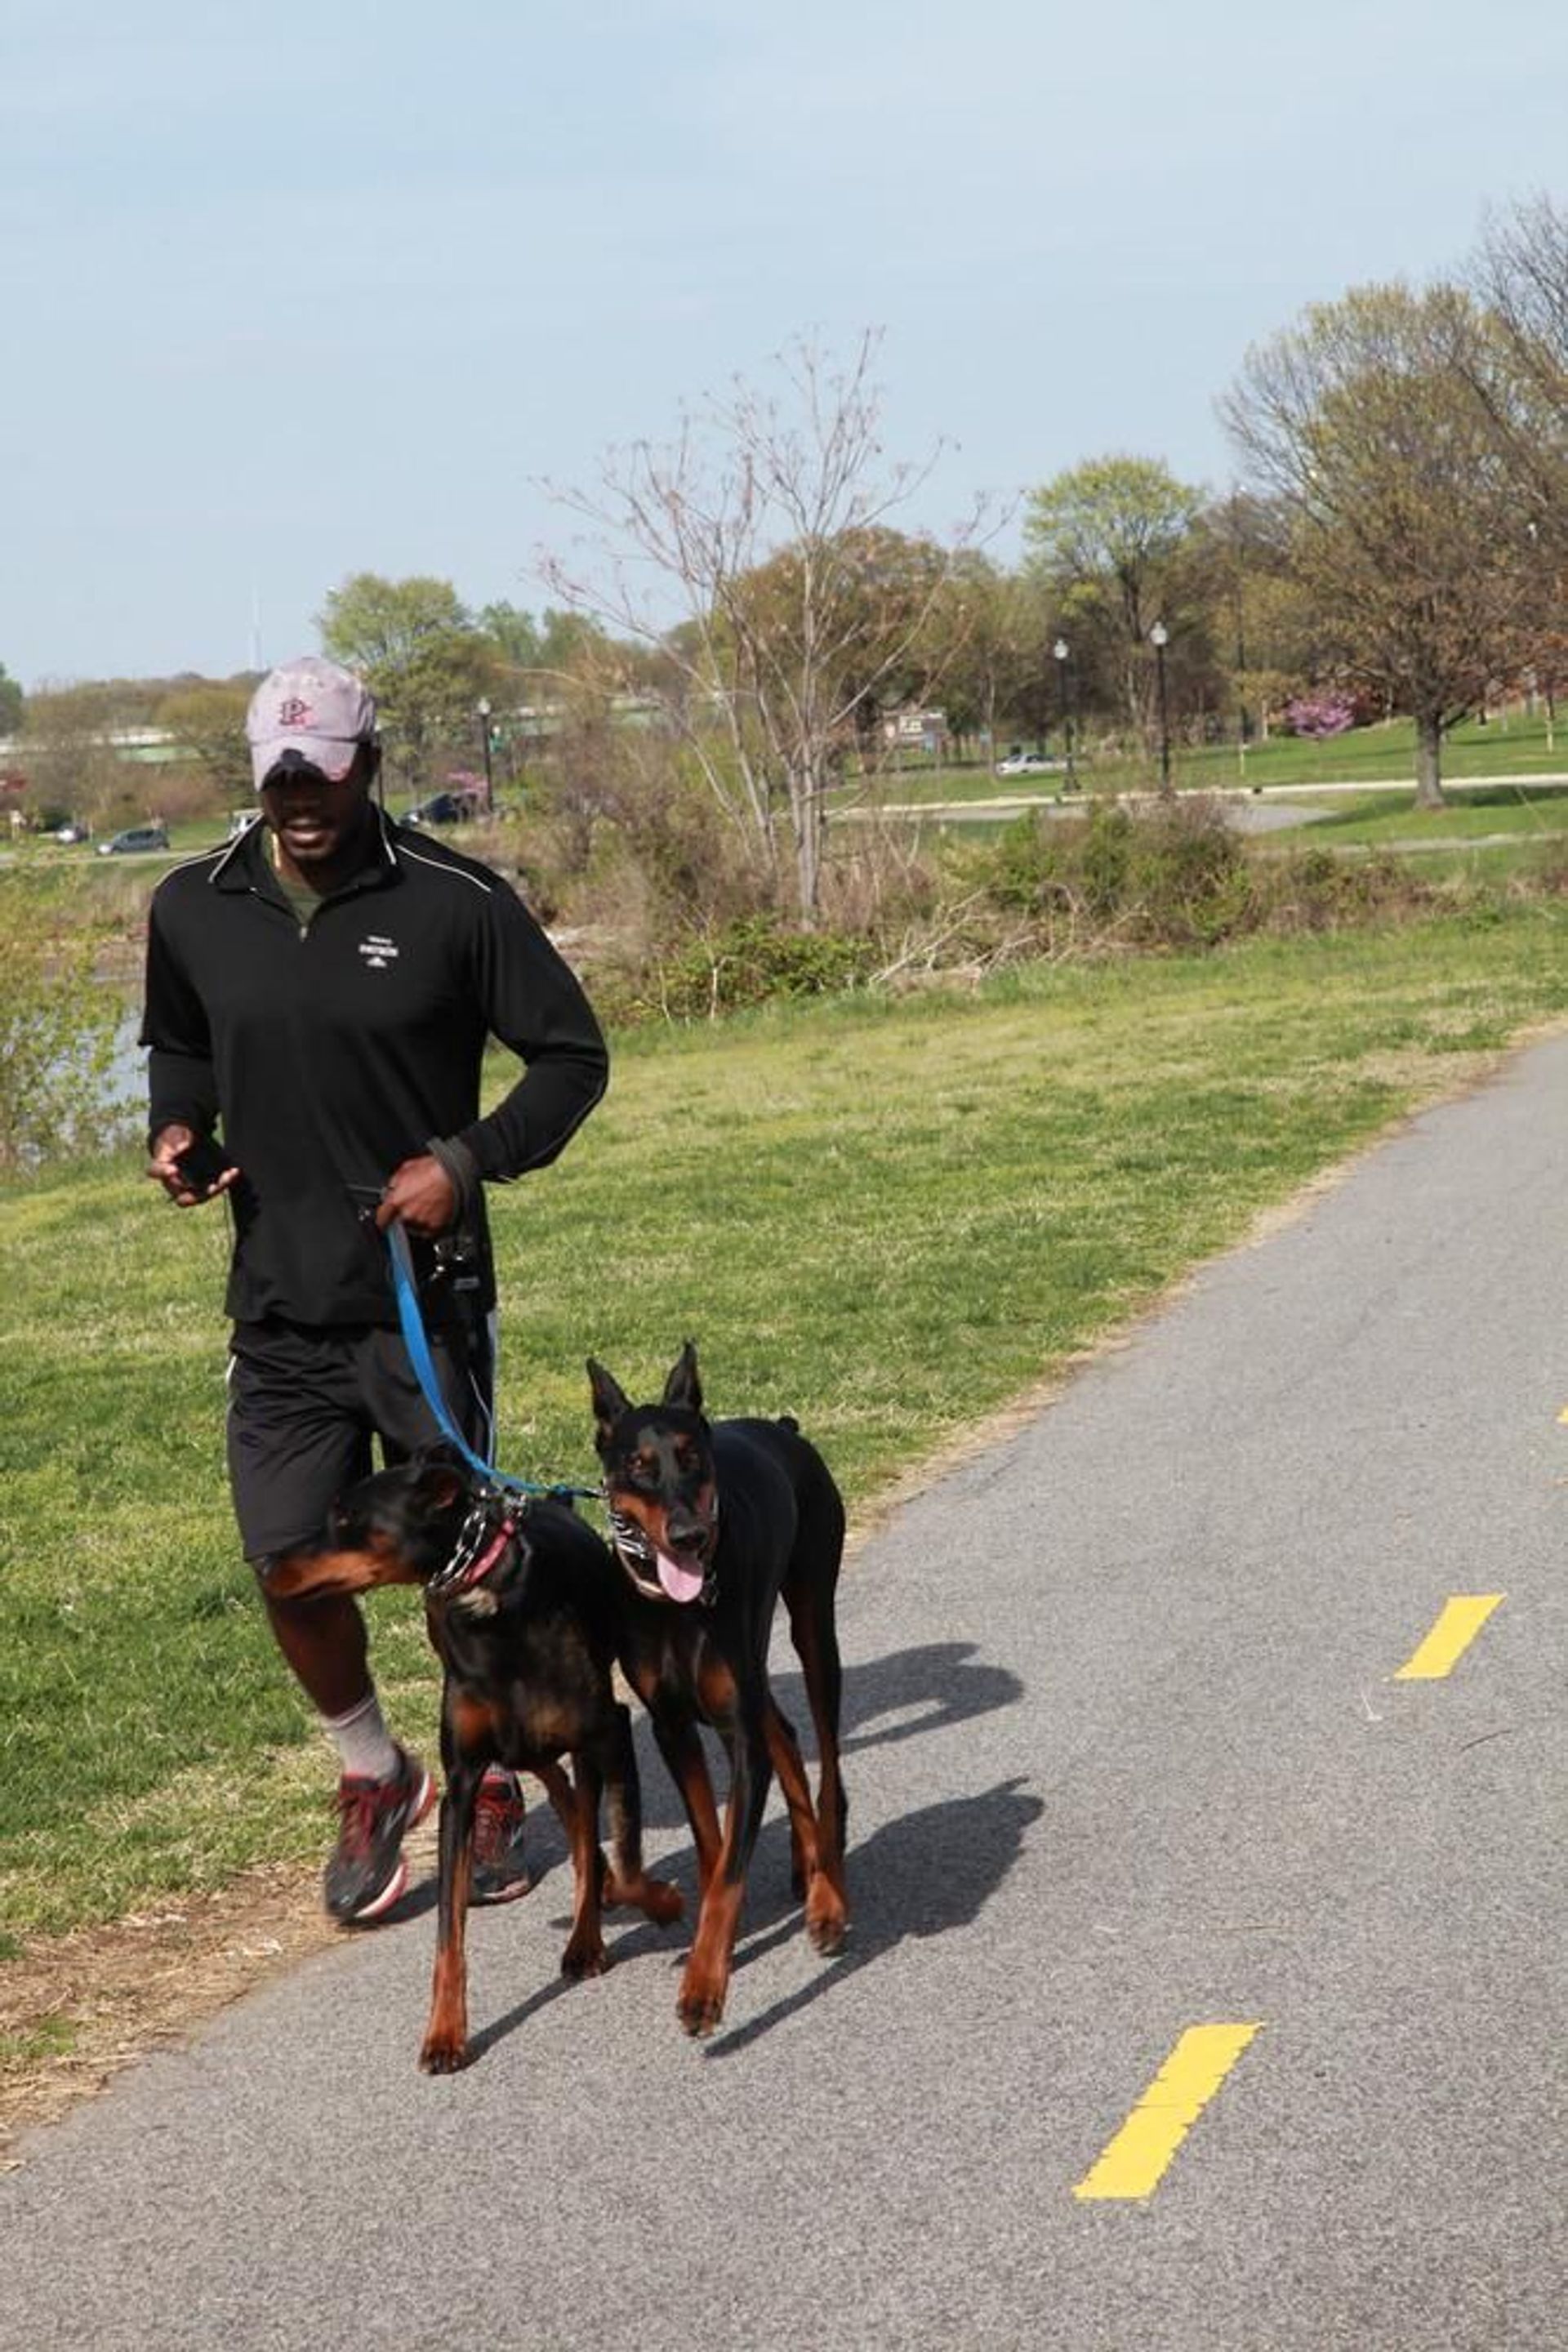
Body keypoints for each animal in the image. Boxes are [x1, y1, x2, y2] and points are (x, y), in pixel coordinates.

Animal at [265, 1449, 681, 2078]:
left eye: (345, 1517)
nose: (269, 1566)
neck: (490, 1599)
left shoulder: (608, 1731)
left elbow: (630, 1862)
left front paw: (661, 1902)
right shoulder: (460, 1783)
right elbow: (448, 1932)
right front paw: (444, 2034)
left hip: (578, 1739)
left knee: (583, 1814)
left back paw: (587, 1938)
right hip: (523, 1745)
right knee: (565, 1800)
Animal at [587, 1354, 851, 2032]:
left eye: (692, 1458)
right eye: (638, 1466)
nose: (685, 1535)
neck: (677, 1609)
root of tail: (784, 1430)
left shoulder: (736, 1730)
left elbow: (731, 1867)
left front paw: (704, 1989)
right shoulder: (672, 1726)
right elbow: (712, 1843)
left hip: (812, 1622)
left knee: (826, 1769)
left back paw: (828, 1897)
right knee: (785, 1734)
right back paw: (806, 1867)